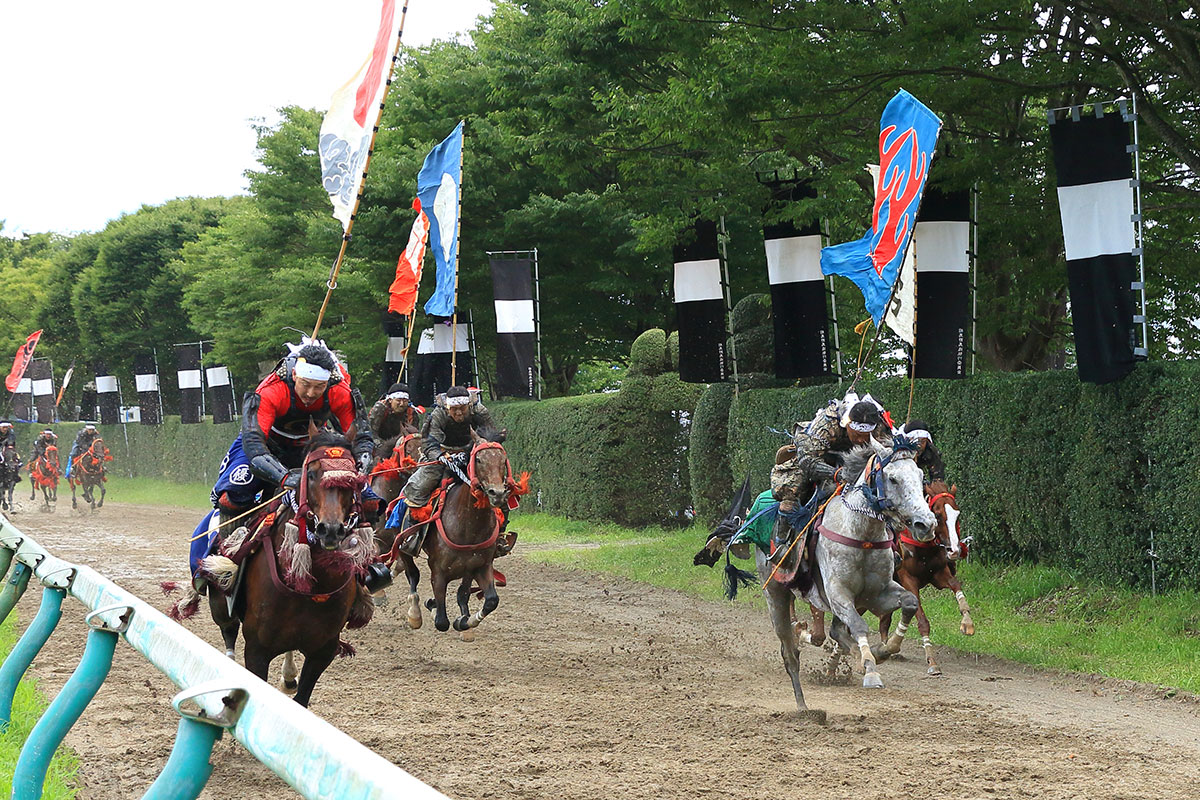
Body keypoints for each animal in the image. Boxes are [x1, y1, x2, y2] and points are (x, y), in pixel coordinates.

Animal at [199, 431, 374, 705]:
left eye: (353, 478)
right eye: (310, 474)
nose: (330, 529)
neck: (312, 589)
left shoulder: (322, 651)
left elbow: (301, 698)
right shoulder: (257, 649)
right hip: (221, 607)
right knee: (228, 630)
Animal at [758, 438, 936, 714]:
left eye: (920, 475)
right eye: (893, 478)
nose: (926, 524)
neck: (861, 534)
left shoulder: (877, 593)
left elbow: (909, 602)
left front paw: (885, 649)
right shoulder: (838, 594)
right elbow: (859, 626)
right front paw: (871, 671)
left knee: (836, 632)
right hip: (775, 595)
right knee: (790, 653)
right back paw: (803, 706)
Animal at [883, 482, 974, 676]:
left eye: (957, 514)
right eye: (938, 515)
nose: (954, 550)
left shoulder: (939, 574)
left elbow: (955, 585)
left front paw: (967, 622)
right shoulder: (908, 580)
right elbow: (923, 621)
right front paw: (932, 661)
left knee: (884, 619)